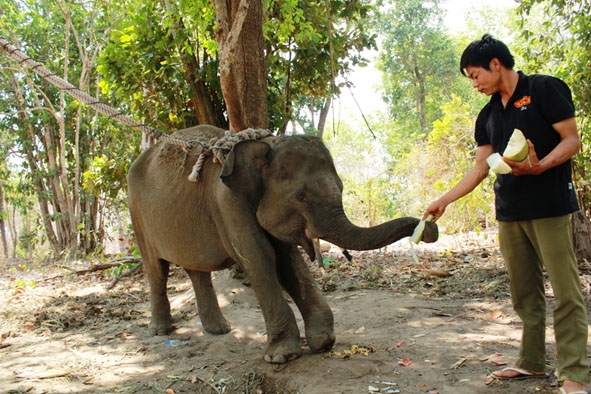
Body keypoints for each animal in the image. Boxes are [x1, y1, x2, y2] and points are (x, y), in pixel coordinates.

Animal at [127, 124, 438, 364]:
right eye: (301, 196)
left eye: (342, 188)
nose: (431, 228)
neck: (265, 145)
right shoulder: (227, 203)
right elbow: (261, 257)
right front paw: (282, 356)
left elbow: (288, 259)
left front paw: (323, 342)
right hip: (137, 215)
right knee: (156, 270)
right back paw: (161, 331)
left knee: (196, 270)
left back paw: (220, 330)